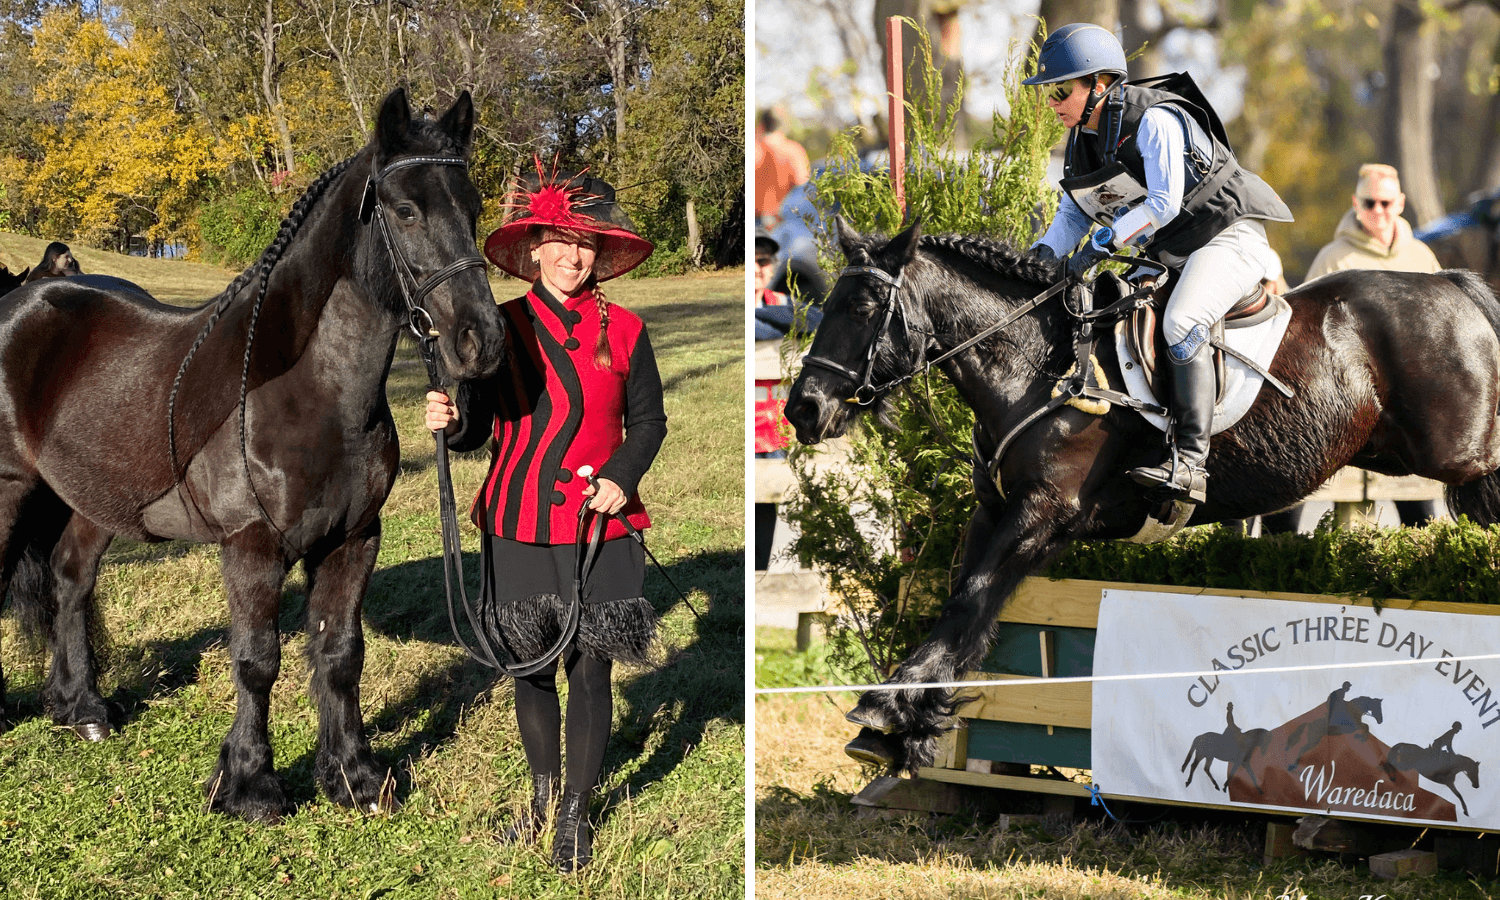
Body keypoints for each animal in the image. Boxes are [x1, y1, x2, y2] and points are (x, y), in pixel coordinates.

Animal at [0, 87, 506, 823]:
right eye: (405, 209)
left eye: (472, 207)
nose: (482, 342)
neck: (305, 392)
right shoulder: (251, 548)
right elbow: (257, 660)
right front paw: (249, 785)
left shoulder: (353, 540)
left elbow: (339, 653)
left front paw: (354, 778)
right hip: (11, 490)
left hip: (97, 499)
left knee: (70, 581)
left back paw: (82, 710)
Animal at [785, 217, 1500, 775]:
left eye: (862, 311)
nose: (802, 410)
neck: (1038, 366)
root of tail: (1451, 285)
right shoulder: (996, 509)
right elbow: (968, 601)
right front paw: (909, 724)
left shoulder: (1044, 513)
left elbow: (971, 598)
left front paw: (889, 709)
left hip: (1459, 453)